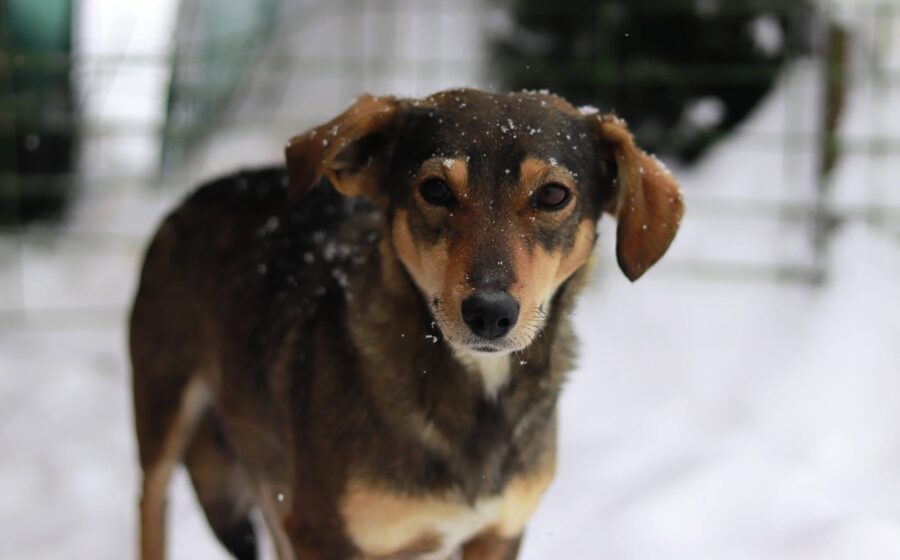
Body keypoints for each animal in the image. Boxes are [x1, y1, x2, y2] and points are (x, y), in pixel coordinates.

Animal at [130, 88, 683, 560]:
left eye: (552, 196)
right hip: (163, 411)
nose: (489, 313)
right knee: (150, 502)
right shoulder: (323, 534)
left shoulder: (497, 533)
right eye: (435, 189)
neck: (475, 392)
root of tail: (207, 189)